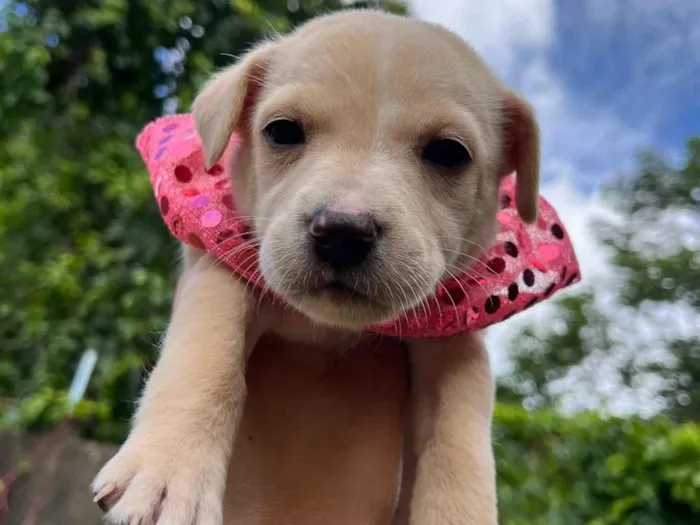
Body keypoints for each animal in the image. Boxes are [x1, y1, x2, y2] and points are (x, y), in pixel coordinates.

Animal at [91, 9, 540, 524]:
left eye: (449, 153)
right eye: (282, 131)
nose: (343, 232)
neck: (329, 329)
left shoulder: (457, 340)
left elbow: (458, 430)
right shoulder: (220, 265)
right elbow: (208, 348)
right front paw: (167, 469)